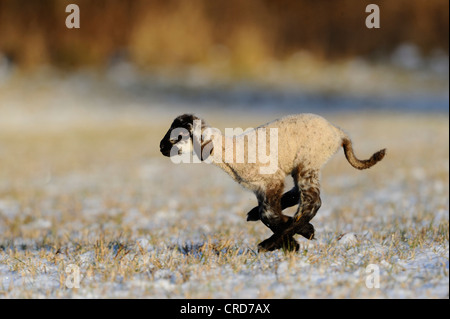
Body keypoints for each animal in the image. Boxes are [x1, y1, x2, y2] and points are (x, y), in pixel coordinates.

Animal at [160, 114, 384, 252]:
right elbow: (268, 215)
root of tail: (338, 132)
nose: (161, 148)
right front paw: (298, 237)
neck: (230, 153)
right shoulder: (260, 189)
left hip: (308, 162)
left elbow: (269, 215)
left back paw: (270, 243)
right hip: (301, 167)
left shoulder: (271, 179)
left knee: (312, 202)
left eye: (176, 137)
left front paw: (294, 241)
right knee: (299, 195)